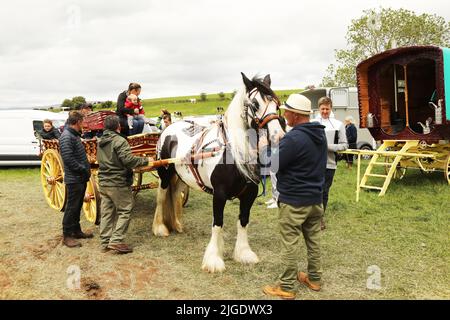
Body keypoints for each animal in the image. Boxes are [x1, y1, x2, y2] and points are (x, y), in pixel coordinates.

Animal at [153, 73, 284, 272]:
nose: (278, 136)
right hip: (165, 174)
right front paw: (214, 259)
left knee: (175, 195)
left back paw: (177, 224)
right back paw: (160, 228)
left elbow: (243, 221)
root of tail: (168, 128)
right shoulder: (219, 194)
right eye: (255, 105)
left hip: (182, 176)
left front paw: (244, 253)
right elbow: (218, 223)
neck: (233, 152)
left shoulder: (249, 193)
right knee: (162, 197)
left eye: (277, 105)